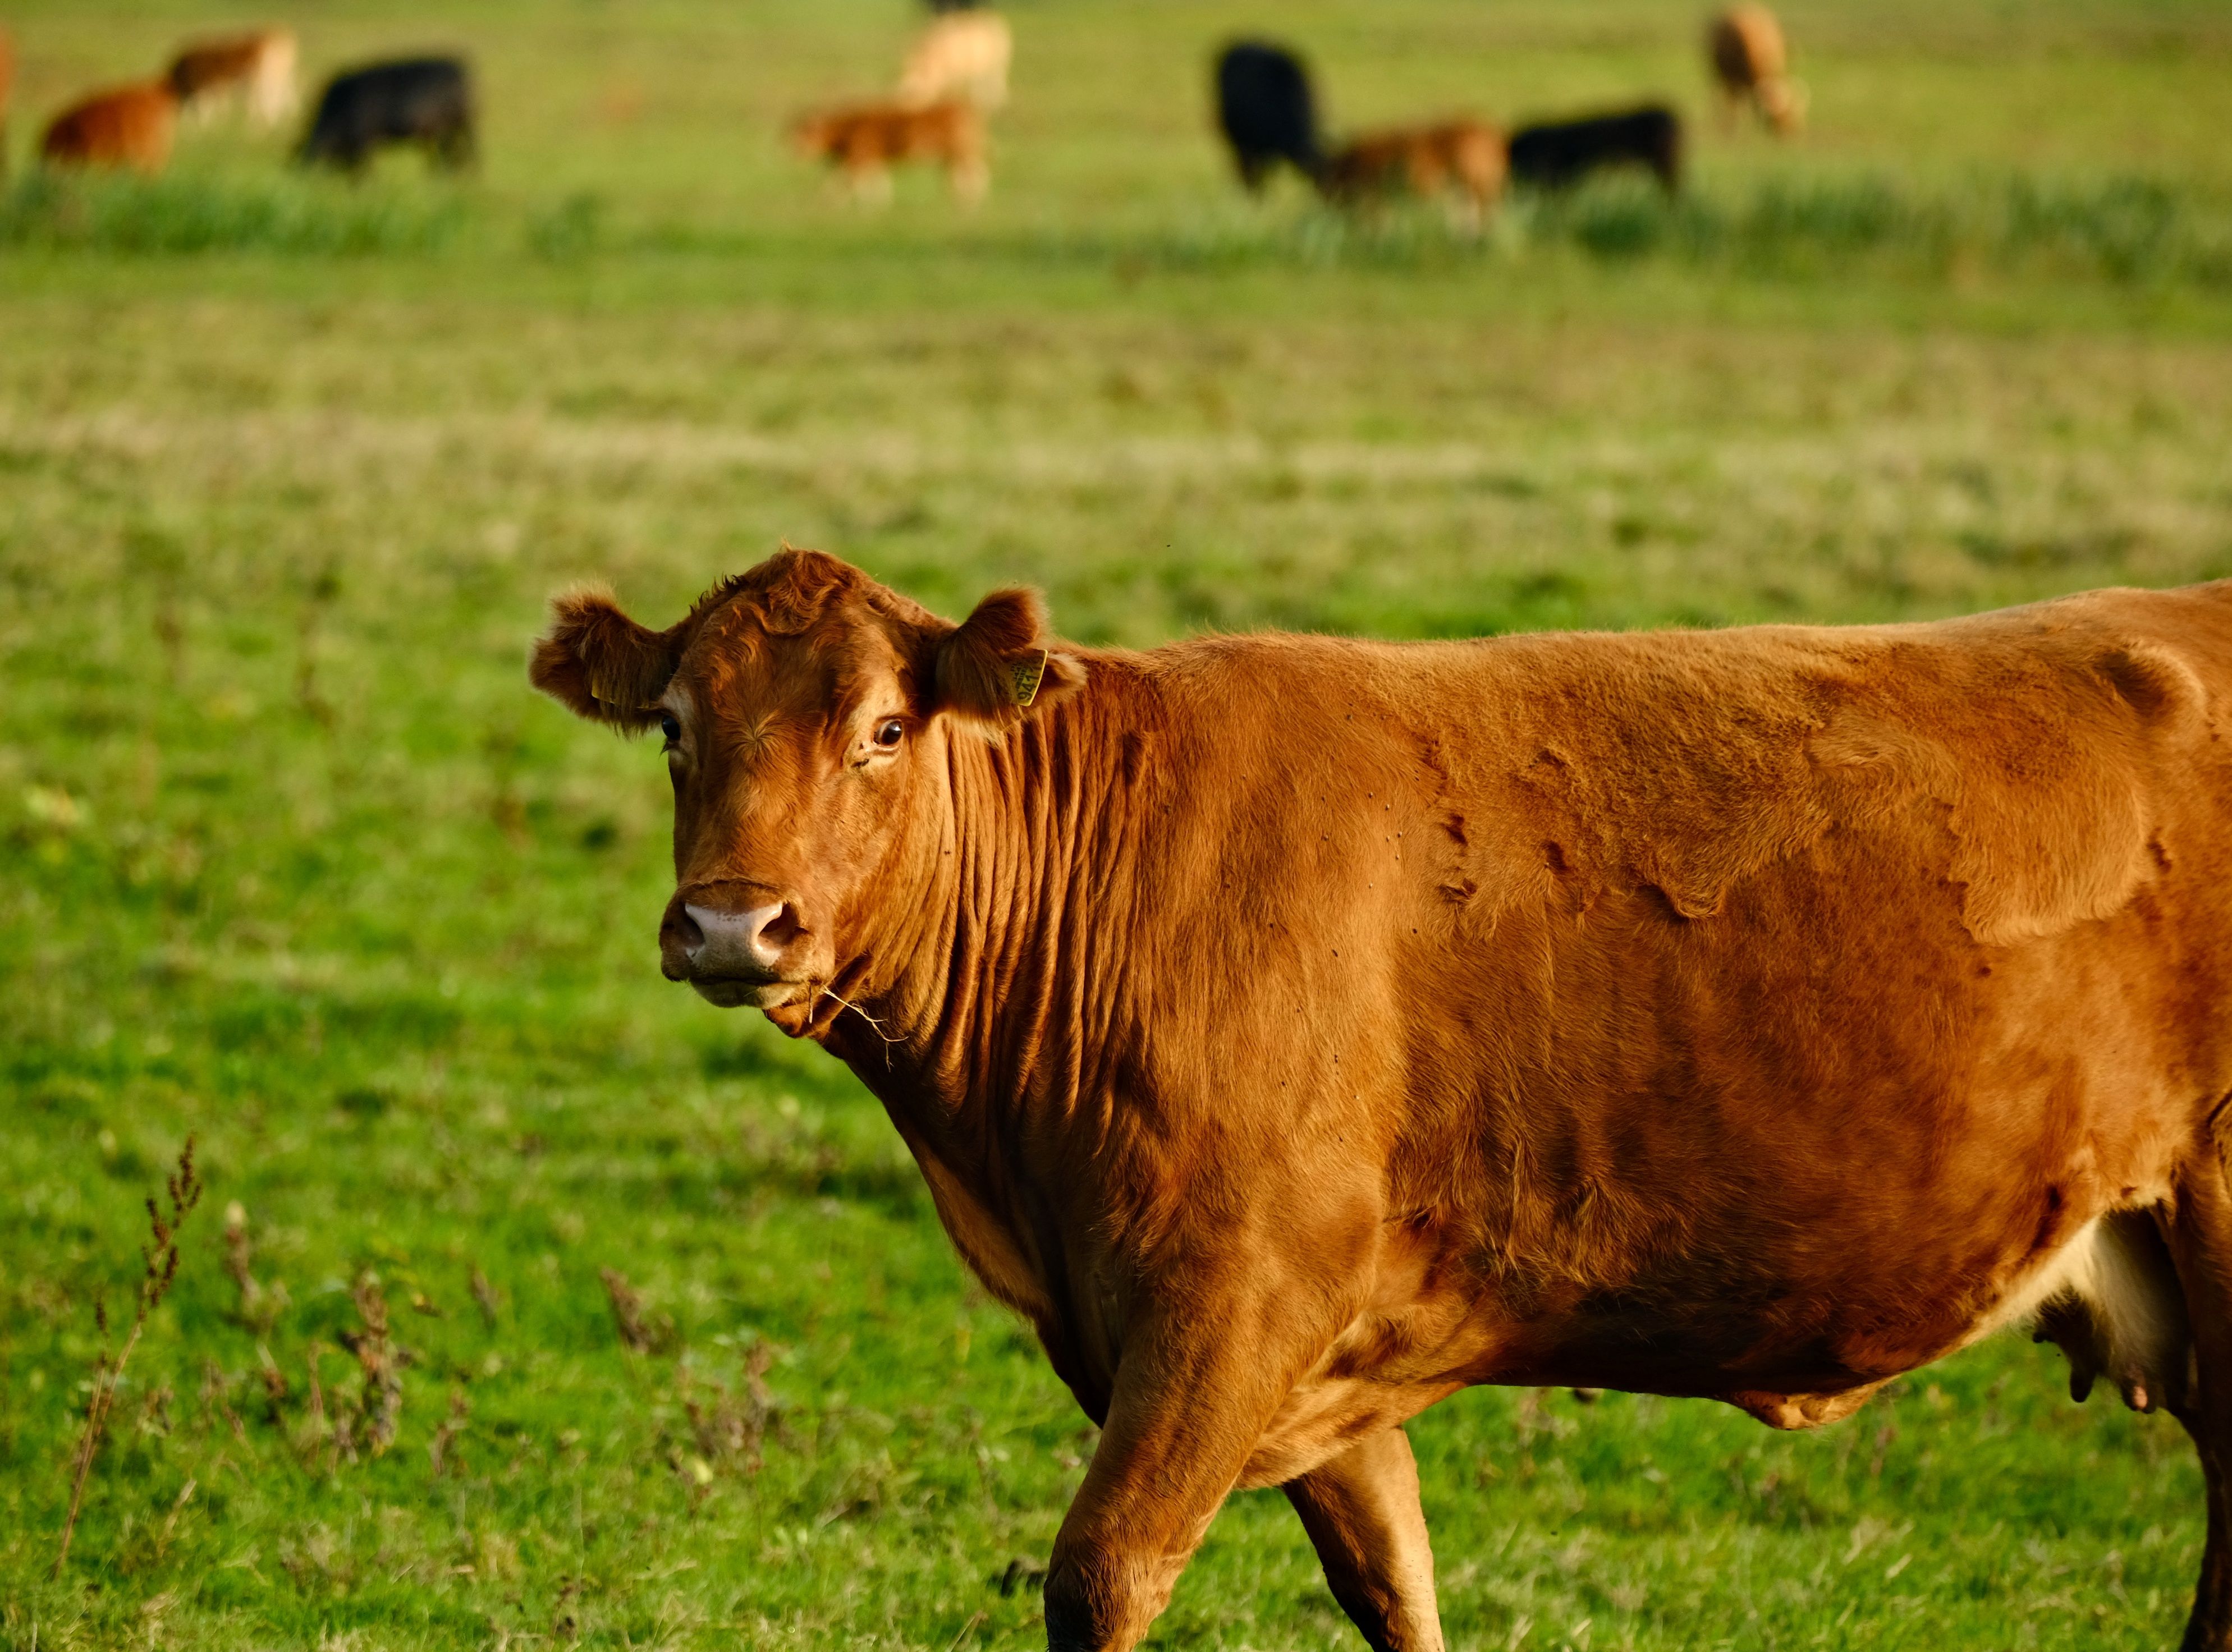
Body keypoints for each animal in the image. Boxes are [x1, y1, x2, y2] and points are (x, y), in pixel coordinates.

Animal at [531, 549, 2232, 1652]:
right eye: (677, 728)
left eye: (883, 728)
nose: (732, 926)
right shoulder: (1307, 1370)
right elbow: (1394, 1588)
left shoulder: (1233, 1302)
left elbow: (1100, 1578)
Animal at [791, 100, 987, 207]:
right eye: (795, 132)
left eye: (806, 134)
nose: (796, 150)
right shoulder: (871, 159)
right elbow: (876, 183)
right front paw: (877, 205)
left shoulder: (859, 157)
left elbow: (844, 182)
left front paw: (827, 203)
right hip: (951, 156)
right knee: (960, 176)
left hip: (962, 151)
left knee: (975, 173)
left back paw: (970, 202)